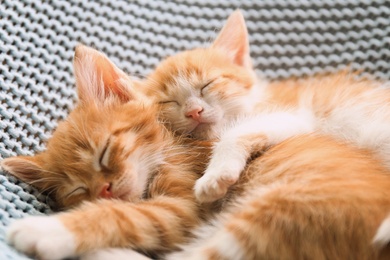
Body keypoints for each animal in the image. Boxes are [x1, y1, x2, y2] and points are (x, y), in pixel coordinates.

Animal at [0, 45, 213, 258]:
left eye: (104, 152)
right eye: (78, 189)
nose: (104, 190)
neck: (176, 146)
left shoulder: (185, 208)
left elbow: (124, 215)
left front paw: (48, 229)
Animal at [145, 10, 390, 203]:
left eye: (208, 84)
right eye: (169, 102)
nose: (193, 112)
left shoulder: (296, 117)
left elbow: (235, 134)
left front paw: (215, 176)